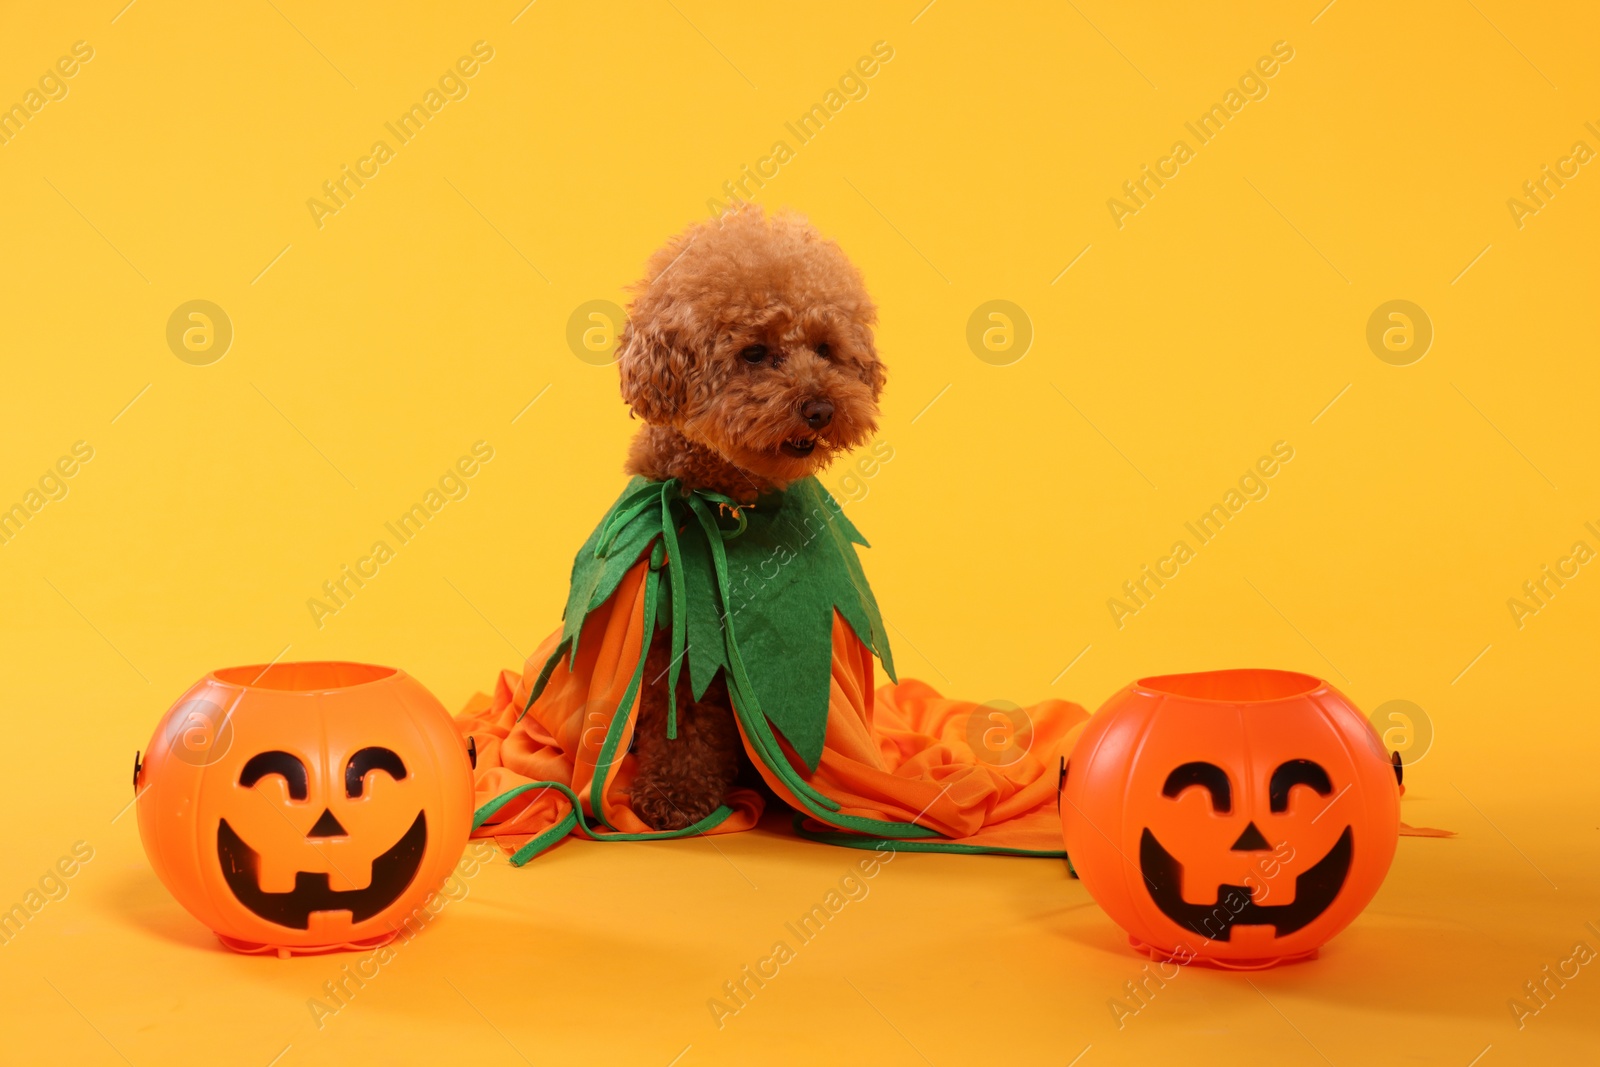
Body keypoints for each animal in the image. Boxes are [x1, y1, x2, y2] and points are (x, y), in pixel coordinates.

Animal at [614, 204, 889, 831]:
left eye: (825, 348)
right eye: (755, 354)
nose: (821, 408)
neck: (728, 506)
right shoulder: (675, 640)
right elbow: (683, 720)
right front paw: (674, 795)